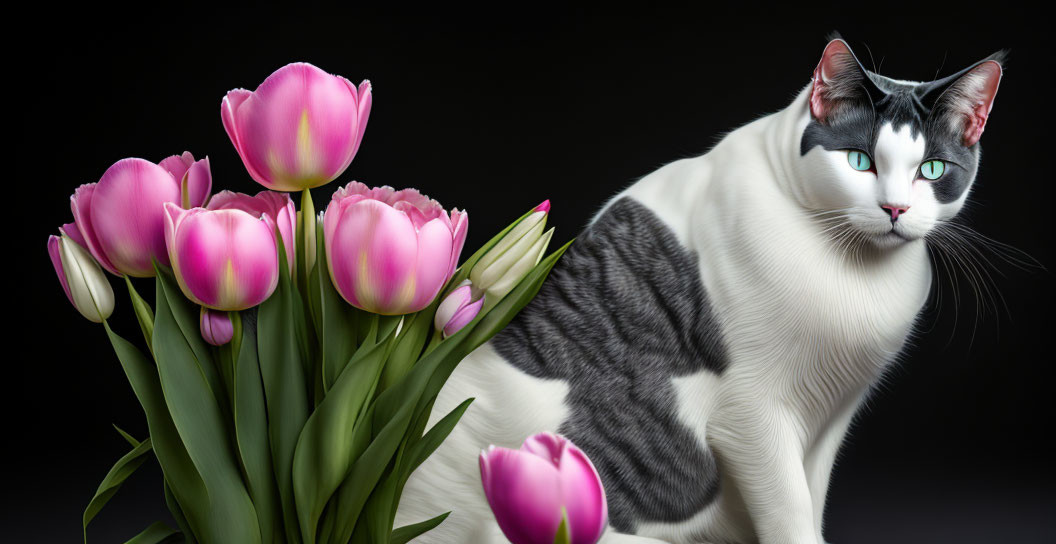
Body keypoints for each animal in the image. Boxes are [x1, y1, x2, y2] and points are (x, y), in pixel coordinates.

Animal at [394, 38, 996, 544]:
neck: (855, 270)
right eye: (860, 161)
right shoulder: (752, 415)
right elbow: (790, 511)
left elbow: (812, 495)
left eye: (932, 169)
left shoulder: (832, 416)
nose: (895, 208)